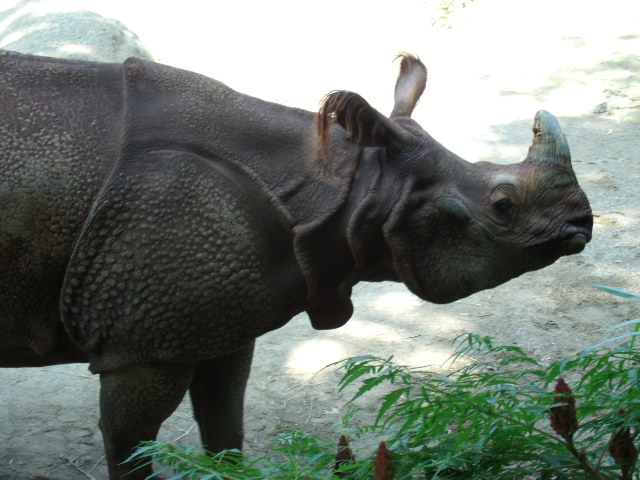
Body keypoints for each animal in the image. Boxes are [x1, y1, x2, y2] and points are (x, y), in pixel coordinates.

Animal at [0, 50, 592, 478]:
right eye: (503, 205)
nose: (583, 223)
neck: (345, 183)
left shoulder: (215, 318)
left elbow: (224, 426)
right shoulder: (142, 344)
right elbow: (131, 448)